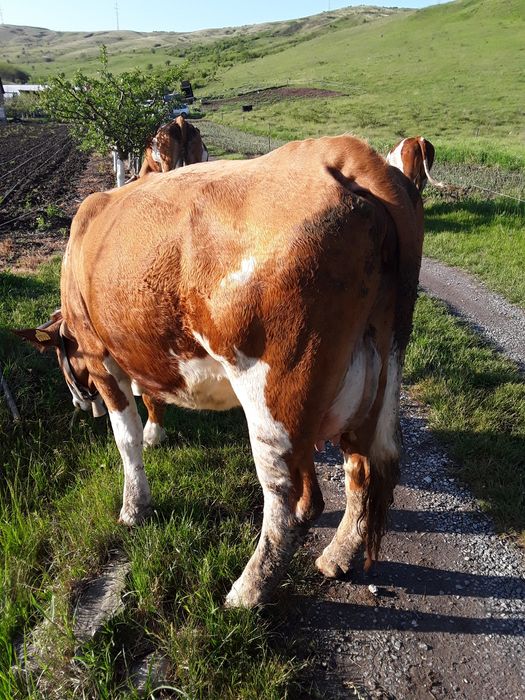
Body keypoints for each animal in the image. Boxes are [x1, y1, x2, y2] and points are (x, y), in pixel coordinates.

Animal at [16, 135, 424, 608]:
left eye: (62, 359)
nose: (82, 404)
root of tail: (347, 154)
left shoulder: (102, 357)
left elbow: (126, 438)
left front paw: (134, 507)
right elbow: (152, 395)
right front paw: (156, 435)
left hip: (274, 391)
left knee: (294, 500)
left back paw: (247, 591)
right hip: (375, 371)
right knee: (365, 467)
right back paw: (335, 557)